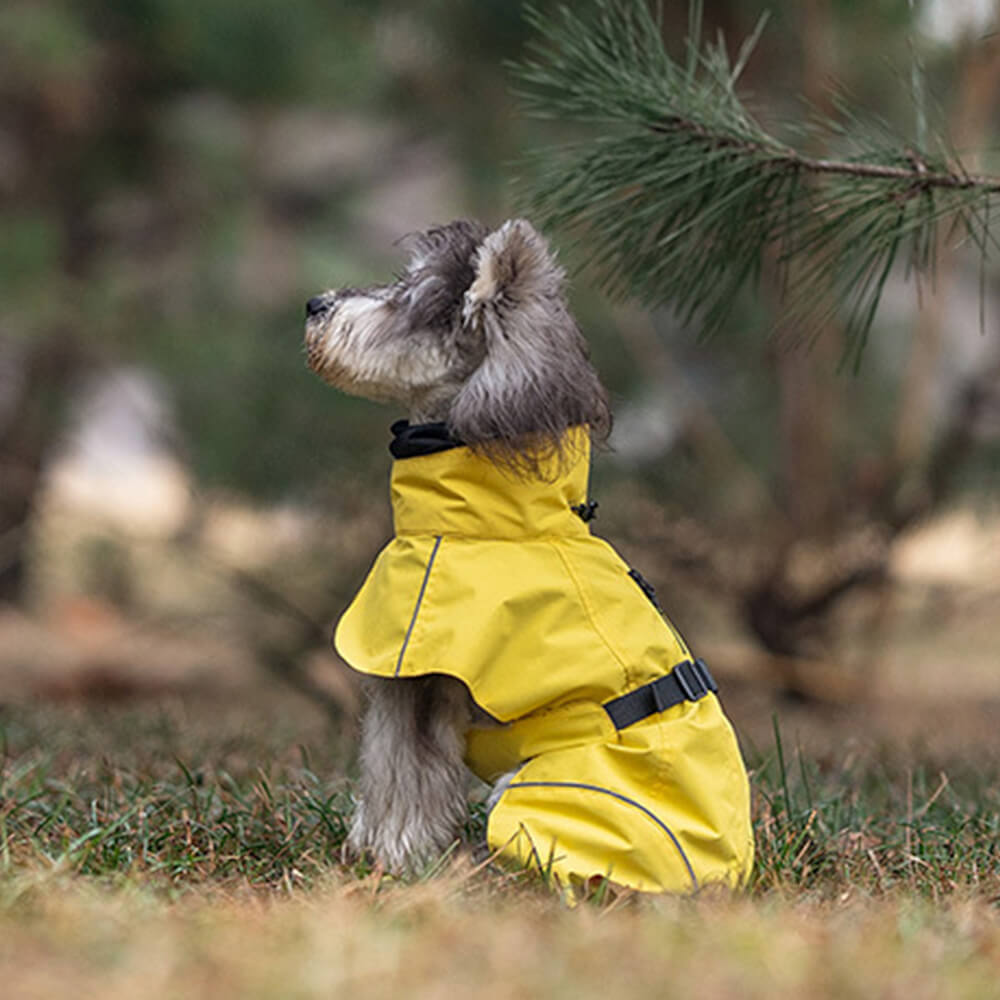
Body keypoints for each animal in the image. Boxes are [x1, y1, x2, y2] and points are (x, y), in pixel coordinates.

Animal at [304, 223, 752, 896]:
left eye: (409, 299)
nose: (314, 305)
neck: (488, 525)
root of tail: (721, 875)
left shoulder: (417, 678)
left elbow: (404, 776)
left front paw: (395, 860)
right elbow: (390, 769)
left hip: (534, 786)